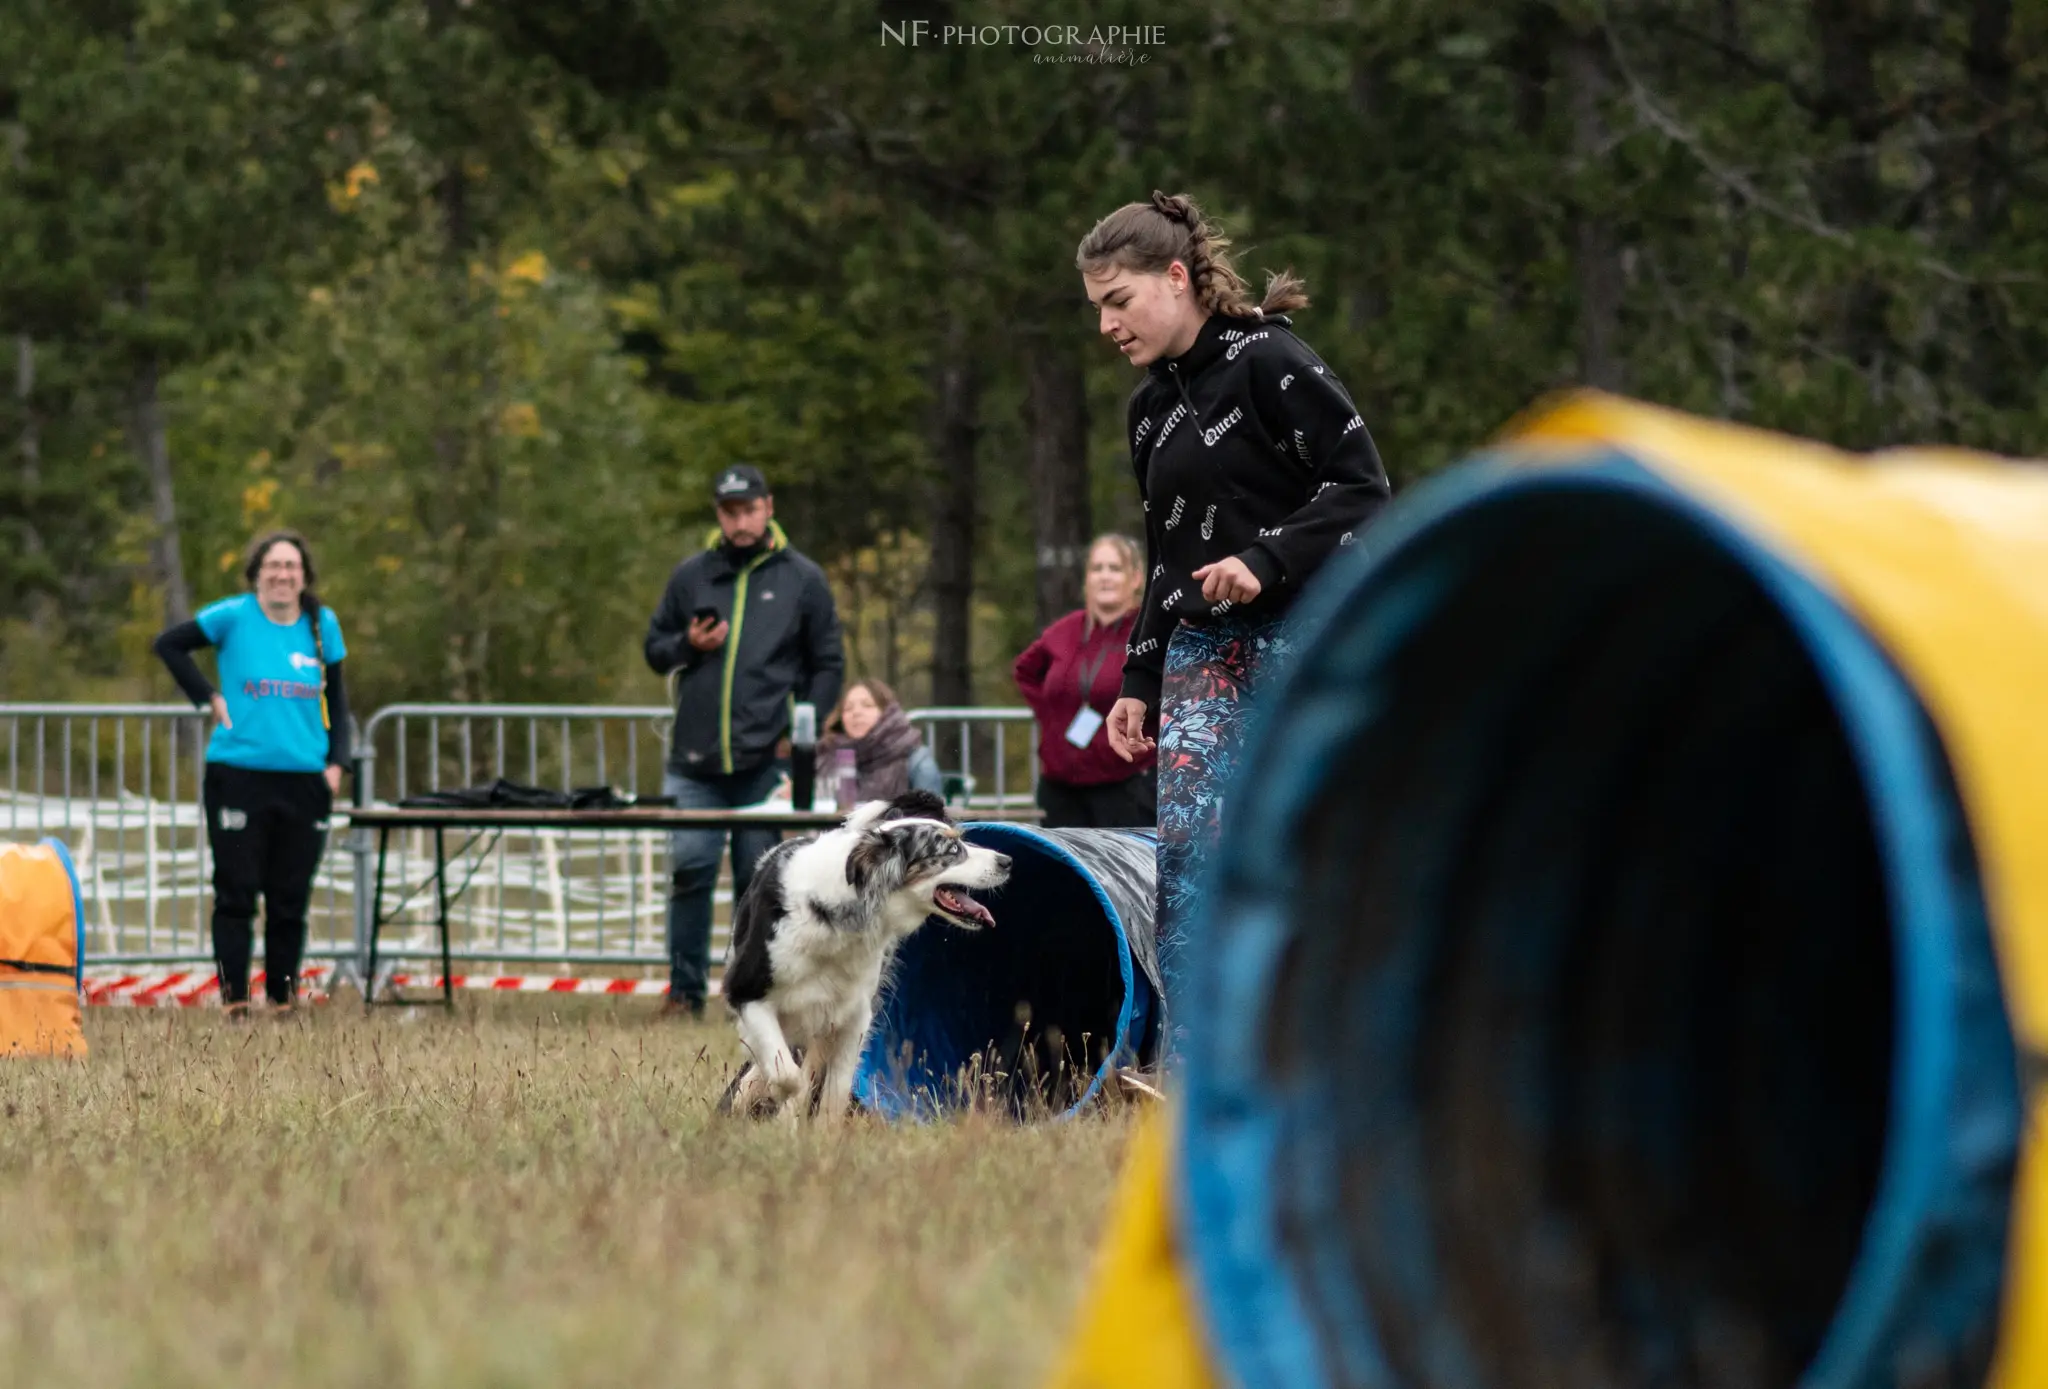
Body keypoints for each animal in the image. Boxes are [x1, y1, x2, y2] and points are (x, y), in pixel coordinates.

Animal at [716, 790, 1011, 1122]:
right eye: (952, 849)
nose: (1007, 861)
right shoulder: (746, 992)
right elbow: (786, 1075)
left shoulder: (852, 1015)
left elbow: (831, 1094)